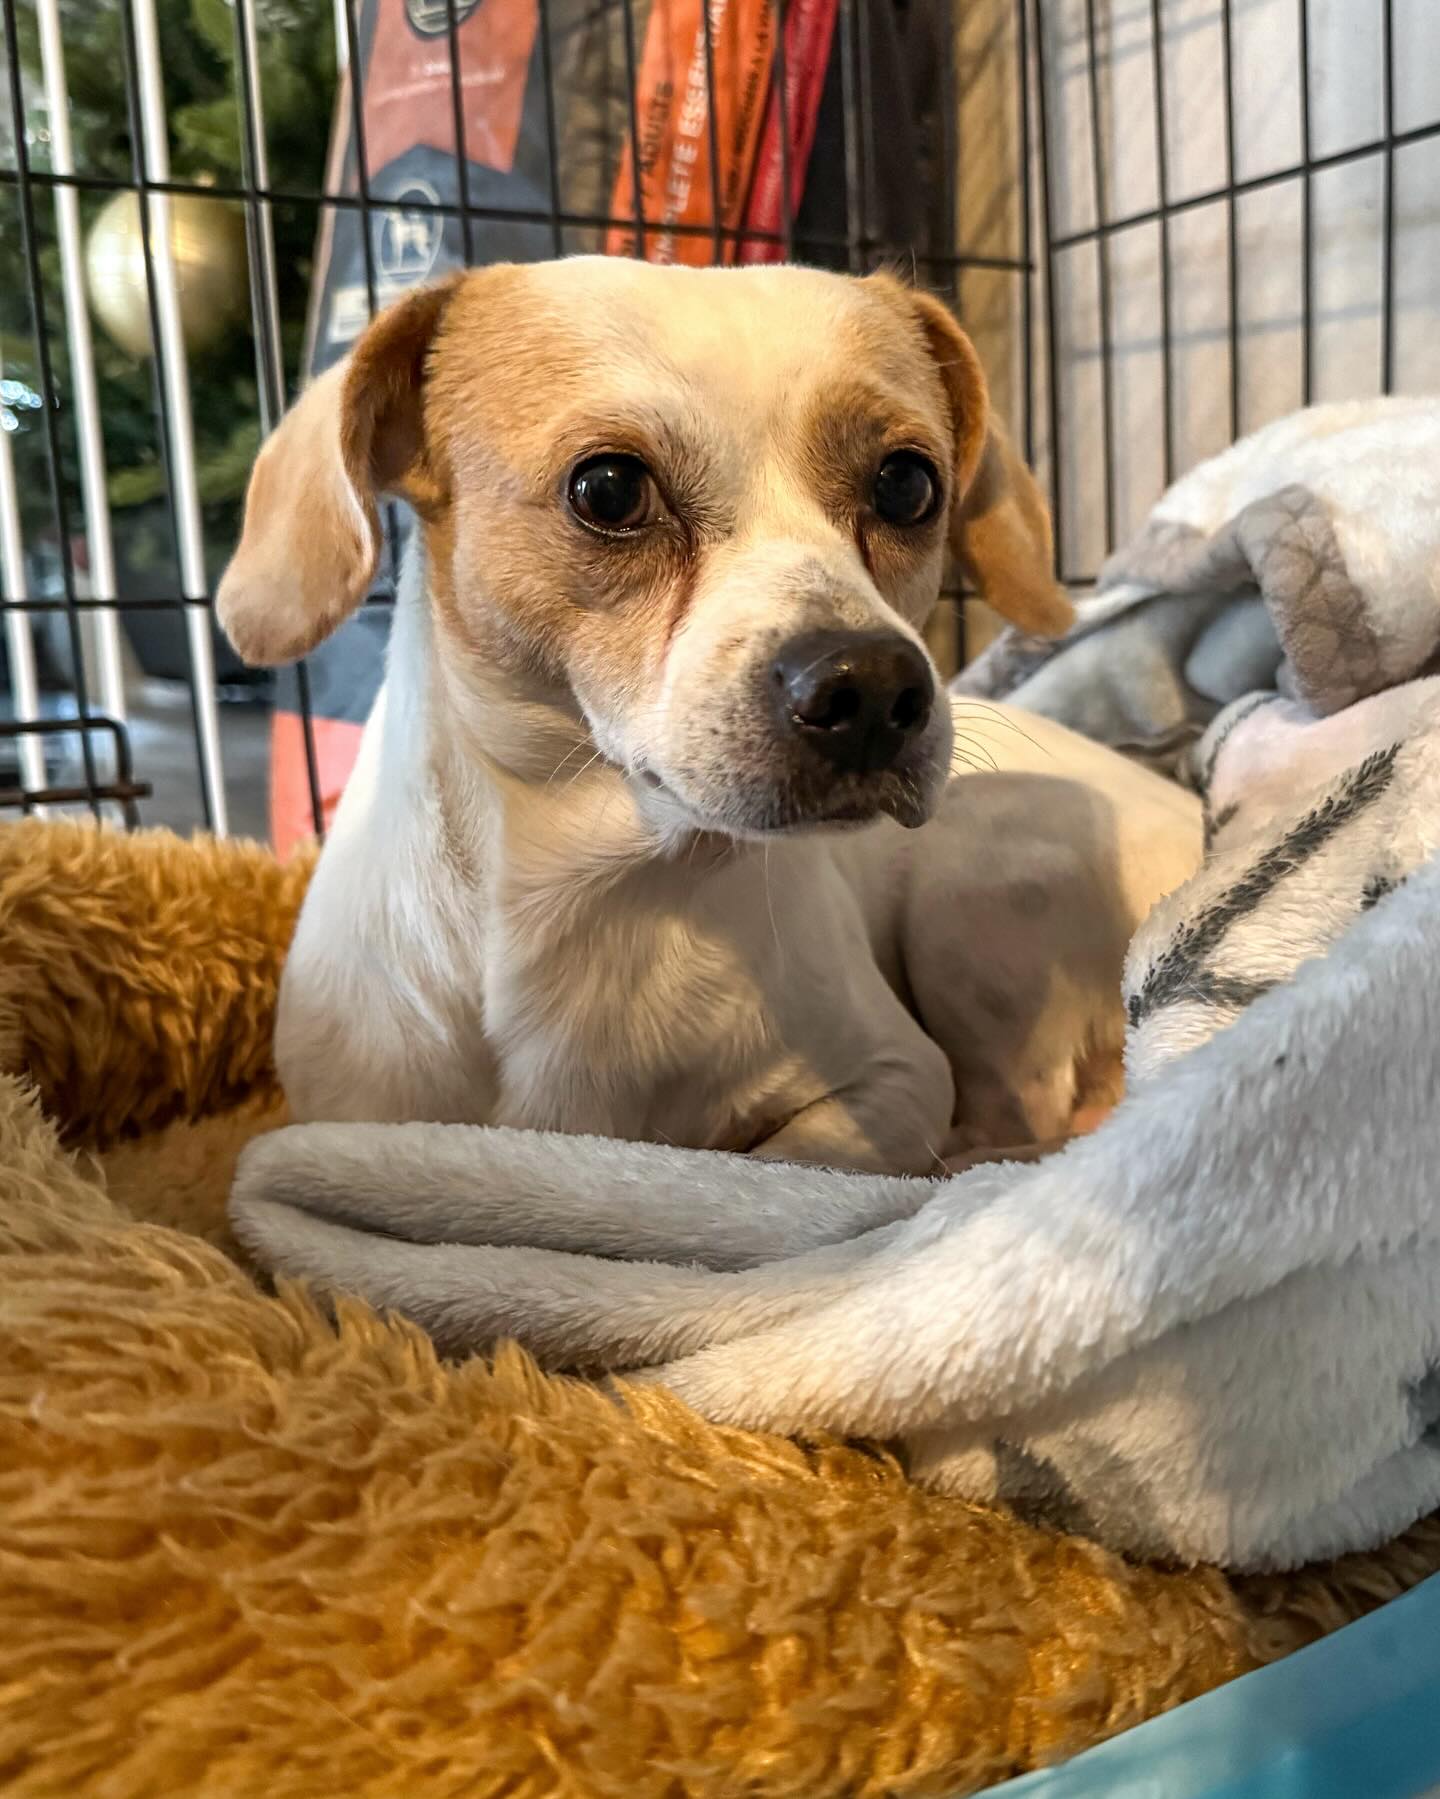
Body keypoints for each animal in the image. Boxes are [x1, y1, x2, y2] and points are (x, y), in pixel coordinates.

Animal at [219, 257, 1195, 1180]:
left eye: (908, 483)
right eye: (609, 488)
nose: (874, 688)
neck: (600, 897)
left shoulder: (895, 1077)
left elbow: (766, 1166)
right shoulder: (345, 1124)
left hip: (969, 897)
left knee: (1018, 1121)